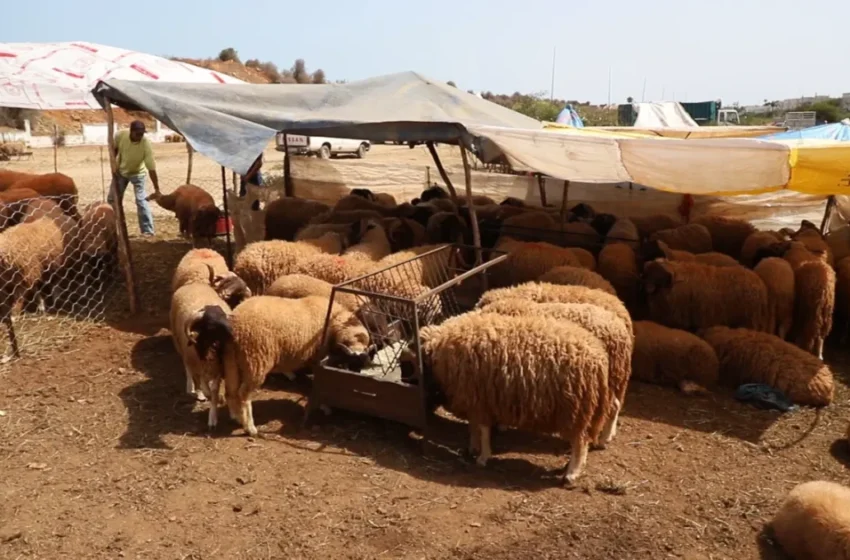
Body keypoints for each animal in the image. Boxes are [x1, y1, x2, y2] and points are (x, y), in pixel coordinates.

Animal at [199, 295, 374, 435]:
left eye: (361, 366)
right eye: (350, 364)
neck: (335, 325)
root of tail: (235, 324)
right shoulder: (318, 359)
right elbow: (319, 383)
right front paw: (325, 406)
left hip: (231, 359)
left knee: (230, 391)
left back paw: (236, 417)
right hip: (255, 360)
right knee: (243, 394)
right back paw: (250, 427)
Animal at [414, 310, 610, 484]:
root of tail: (600, 359)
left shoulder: (480, 399)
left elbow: (483, 430)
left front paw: (483, 456)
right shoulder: (477, 400)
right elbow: (474, 427)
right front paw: (473, 447)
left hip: (575, 409)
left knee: (580, 443)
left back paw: (572, 473)